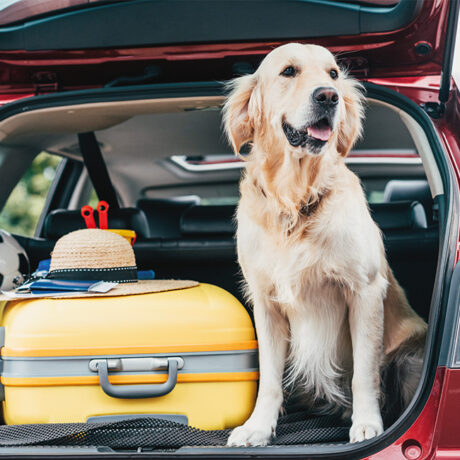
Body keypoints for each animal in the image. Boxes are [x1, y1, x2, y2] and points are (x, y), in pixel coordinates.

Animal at [223, 43, 428, 446]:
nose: (328, 96)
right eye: (289, 71)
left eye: (333, 73)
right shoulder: (266, 302)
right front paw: (258, 427)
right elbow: (269, 378)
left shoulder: (364, 291)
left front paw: (367, 424)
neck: (296, 200)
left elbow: (364, 372)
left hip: (410, 355)